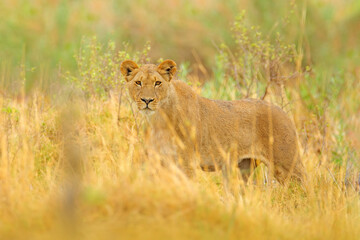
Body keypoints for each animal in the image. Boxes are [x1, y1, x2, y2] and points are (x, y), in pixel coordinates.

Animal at [121, 59, 306, 185]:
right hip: (243, 169)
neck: (159, 119)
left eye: (158, 83)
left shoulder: (186, 162)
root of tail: (284, 113)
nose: (147, 100)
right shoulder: (157, 160)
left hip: (287, 165)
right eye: (138, 82)